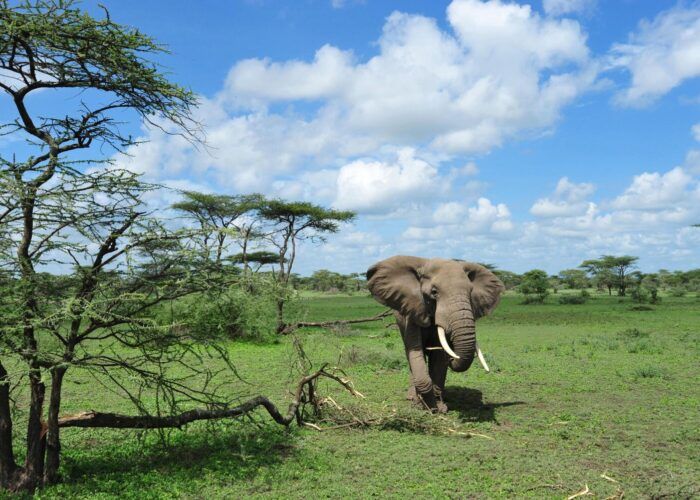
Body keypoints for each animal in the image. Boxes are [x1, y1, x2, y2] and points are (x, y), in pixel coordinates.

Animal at [366, 256, 505, 413]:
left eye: (470, 292)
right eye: (434, 292)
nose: (452, 358)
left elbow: (439, 357)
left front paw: (439, 408)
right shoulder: (413, 310)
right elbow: (416, 351)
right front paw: (424, 406)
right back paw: (411, 397)